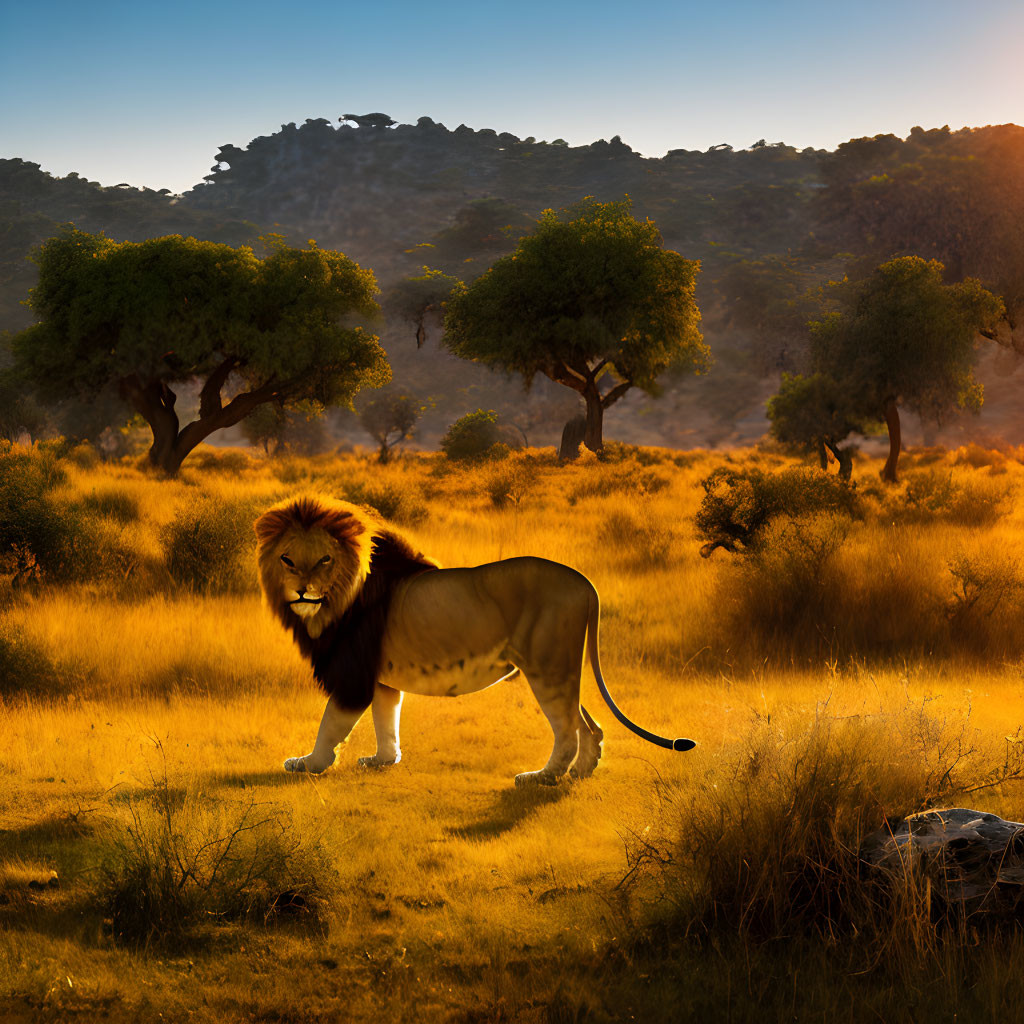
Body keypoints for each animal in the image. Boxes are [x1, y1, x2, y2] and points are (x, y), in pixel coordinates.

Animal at [253, 495, 696, 782]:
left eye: (324, 560)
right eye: (287, 560)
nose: (303, 592)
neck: (337, 600)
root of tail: (585, 582)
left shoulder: (352, 677)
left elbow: (330, 725)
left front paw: (308, 763)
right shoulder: (379, 677)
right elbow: (387, 719)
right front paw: (383, 760)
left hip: (547, 666)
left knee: (568, 729)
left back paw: (542, 776)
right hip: (561, 666)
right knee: (588, 725)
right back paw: (582, 772)